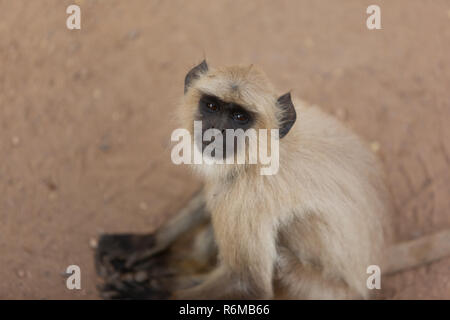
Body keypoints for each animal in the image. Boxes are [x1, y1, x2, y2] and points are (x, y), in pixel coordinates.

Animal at [95, 60, 450, 300]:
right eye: (212, 106)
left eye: (239, 117)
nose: (216, 133)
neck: (266, 147)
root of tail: (378, 258)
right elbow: (209, 190)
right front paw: (145, 243)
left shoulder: (251, 193)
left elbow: (249, 285)